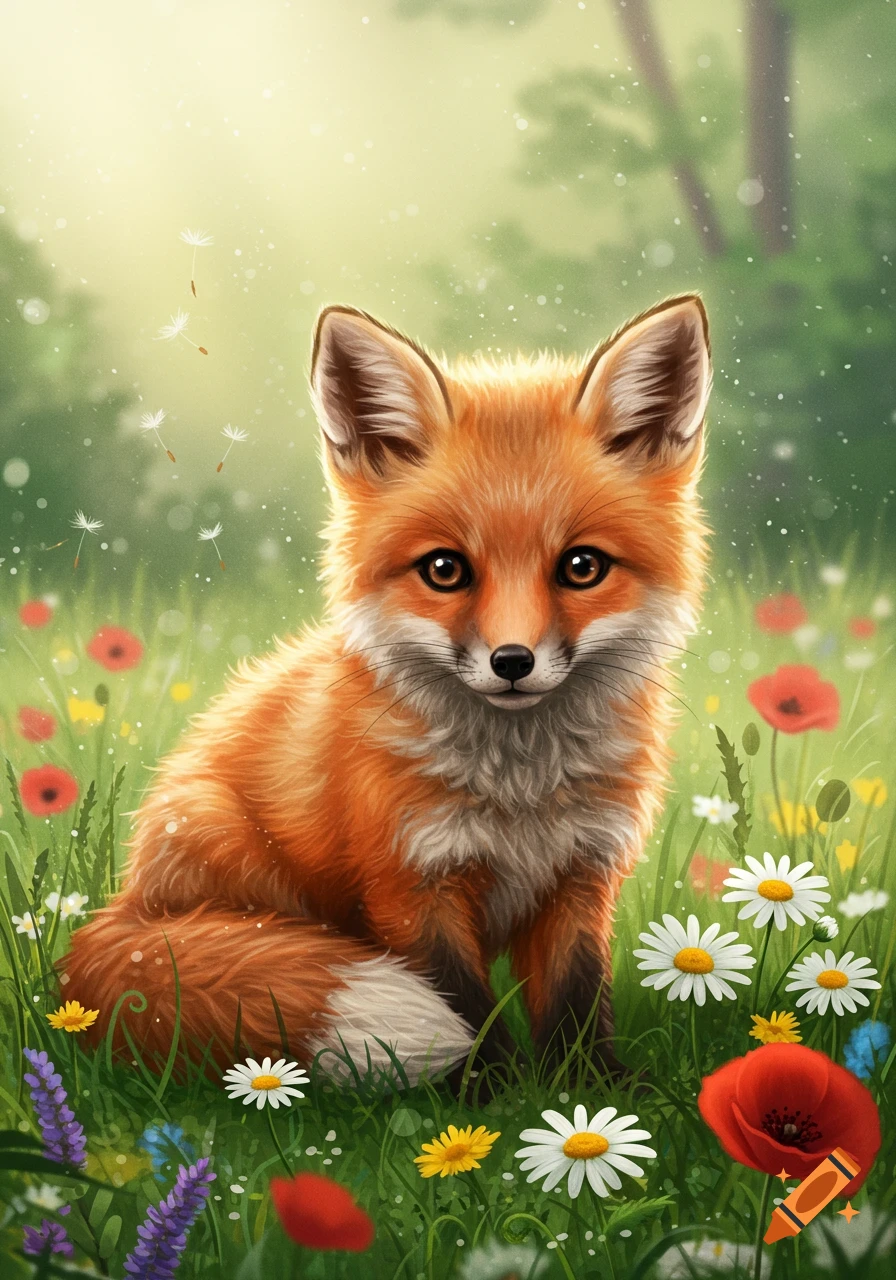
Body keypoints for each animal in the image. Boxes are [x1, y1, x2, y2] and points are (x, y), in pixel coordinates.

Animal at [63, 294, 711, 1086]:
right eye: (444, 569)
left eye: (582, 567)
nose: (513, 661)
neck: (520, 792)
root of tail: (119, 910)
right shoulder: (410, 883)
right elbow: (463, 1006)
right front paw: (485, 1094)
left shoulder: (581, 877)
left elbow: (577, 1001)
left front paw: (590, 1094)